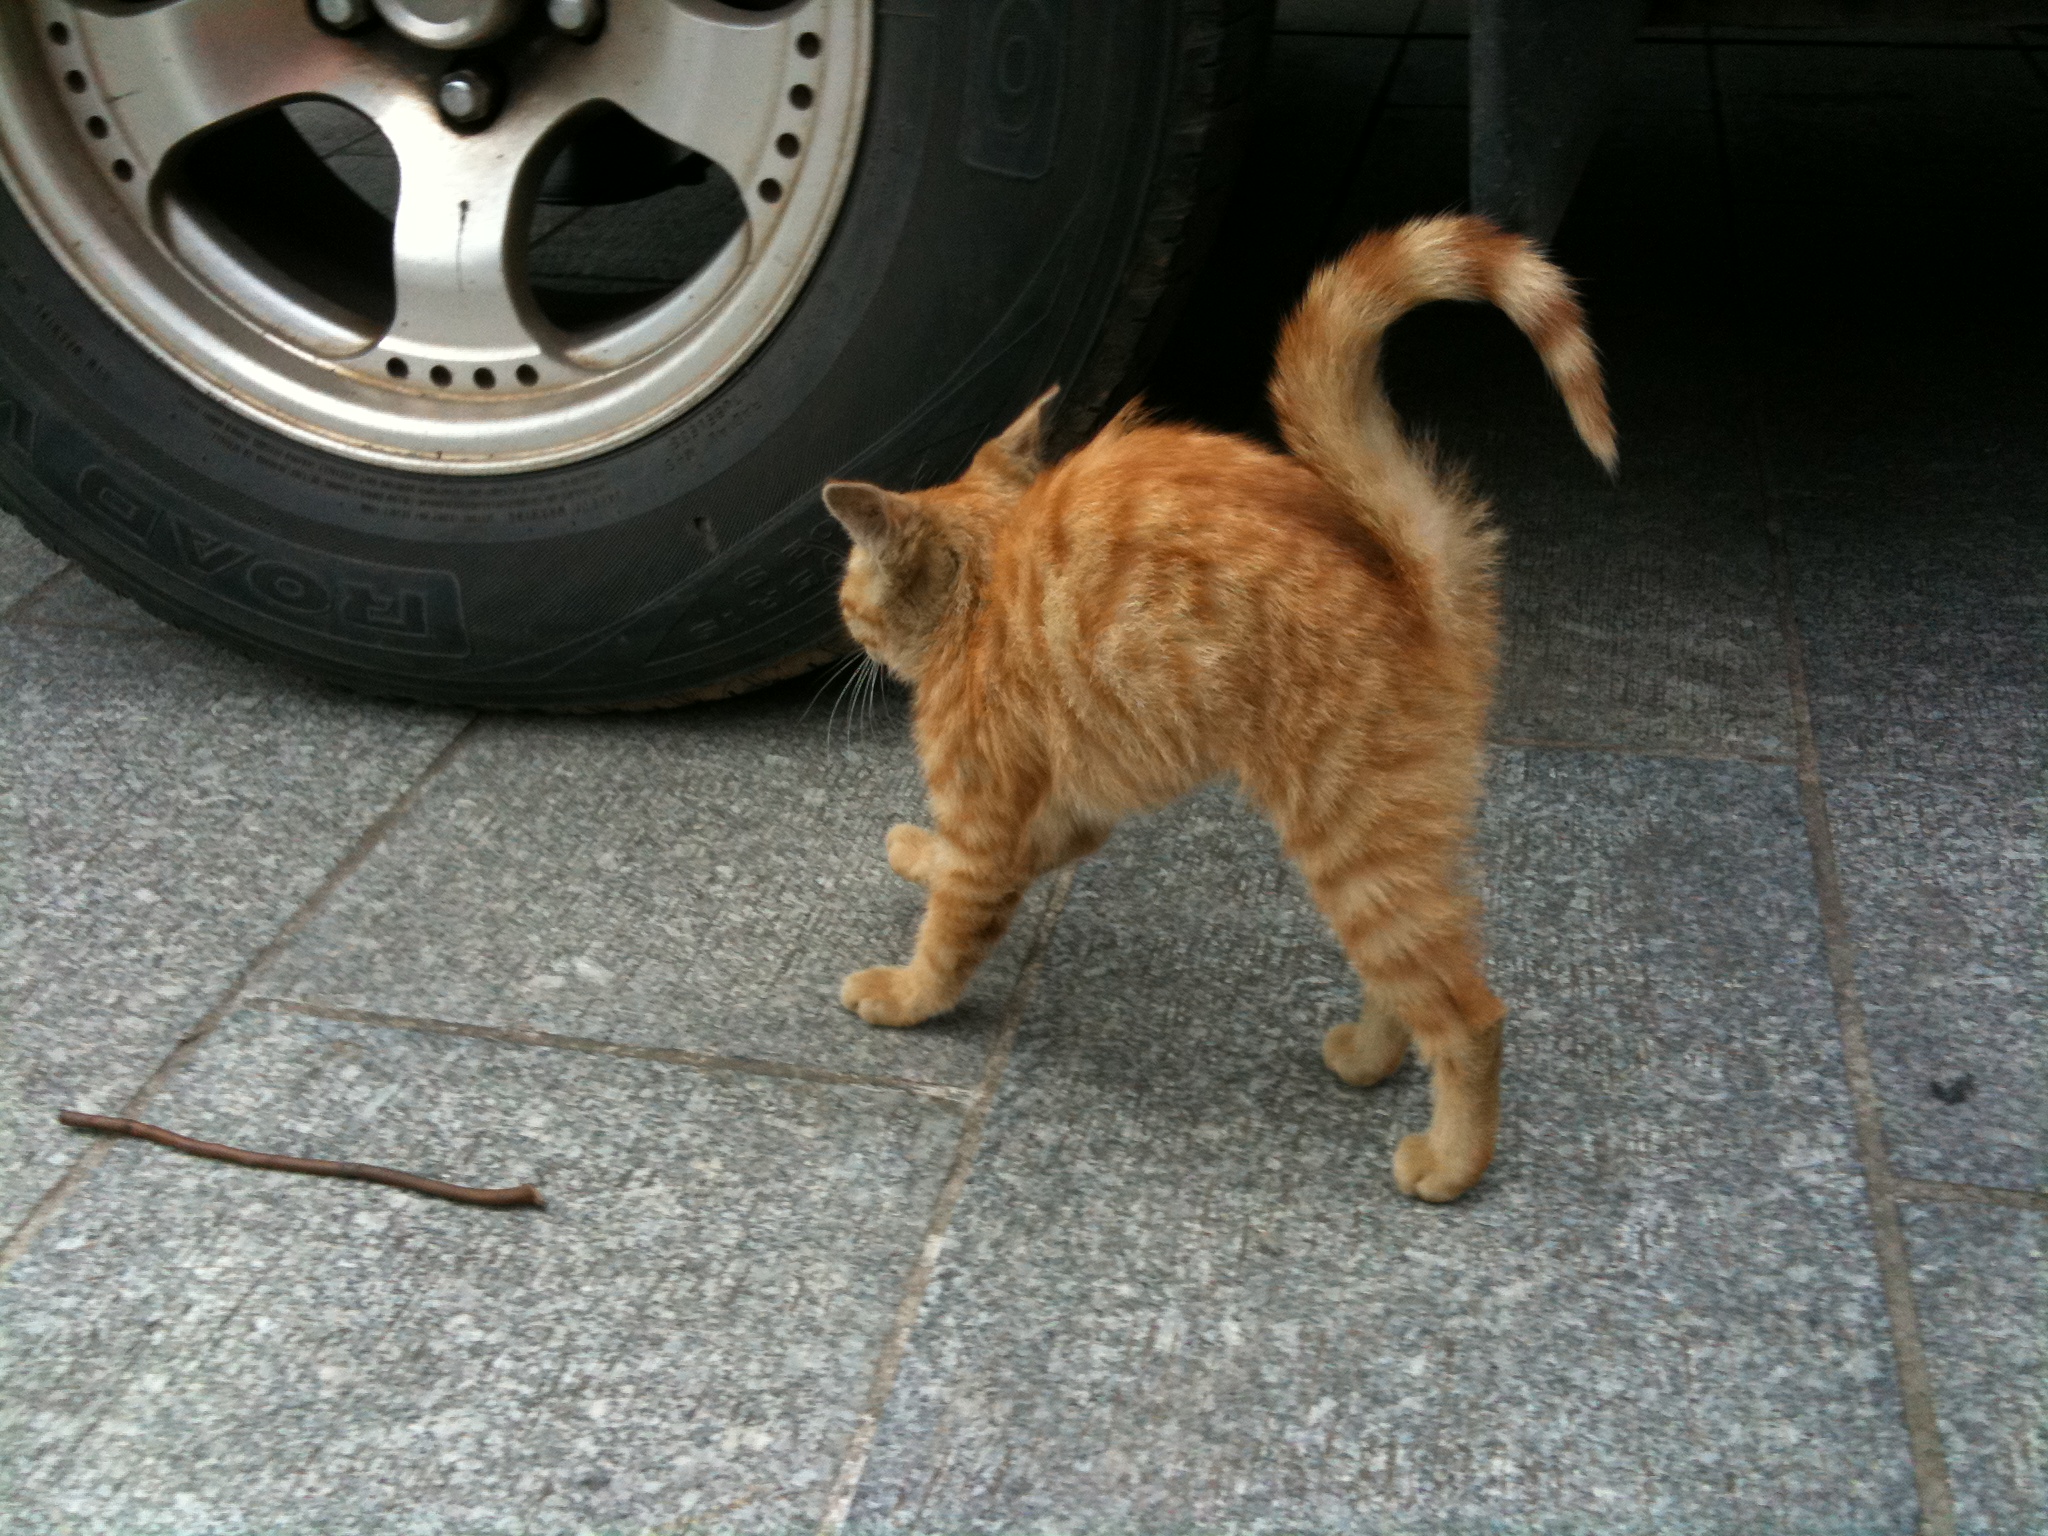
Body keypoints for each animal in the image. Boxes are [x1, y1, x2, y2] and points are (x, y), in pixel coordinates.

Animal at [823, 217, 1605, 1204]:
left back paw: (1451, 1162)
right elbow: (979, 866)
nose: (845, 626)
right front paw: (916, 856)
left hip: (1353, 839)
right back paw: (1370, 1056)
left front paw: (904, 994)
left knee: (1469, 1015)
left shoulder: (991, 809)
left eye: (851, 584)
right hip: (1383, 854)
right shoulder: (1066, 808)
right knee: (1412, 976)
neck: (986, 591)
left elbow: (951, 931)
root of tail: (1410, 573)